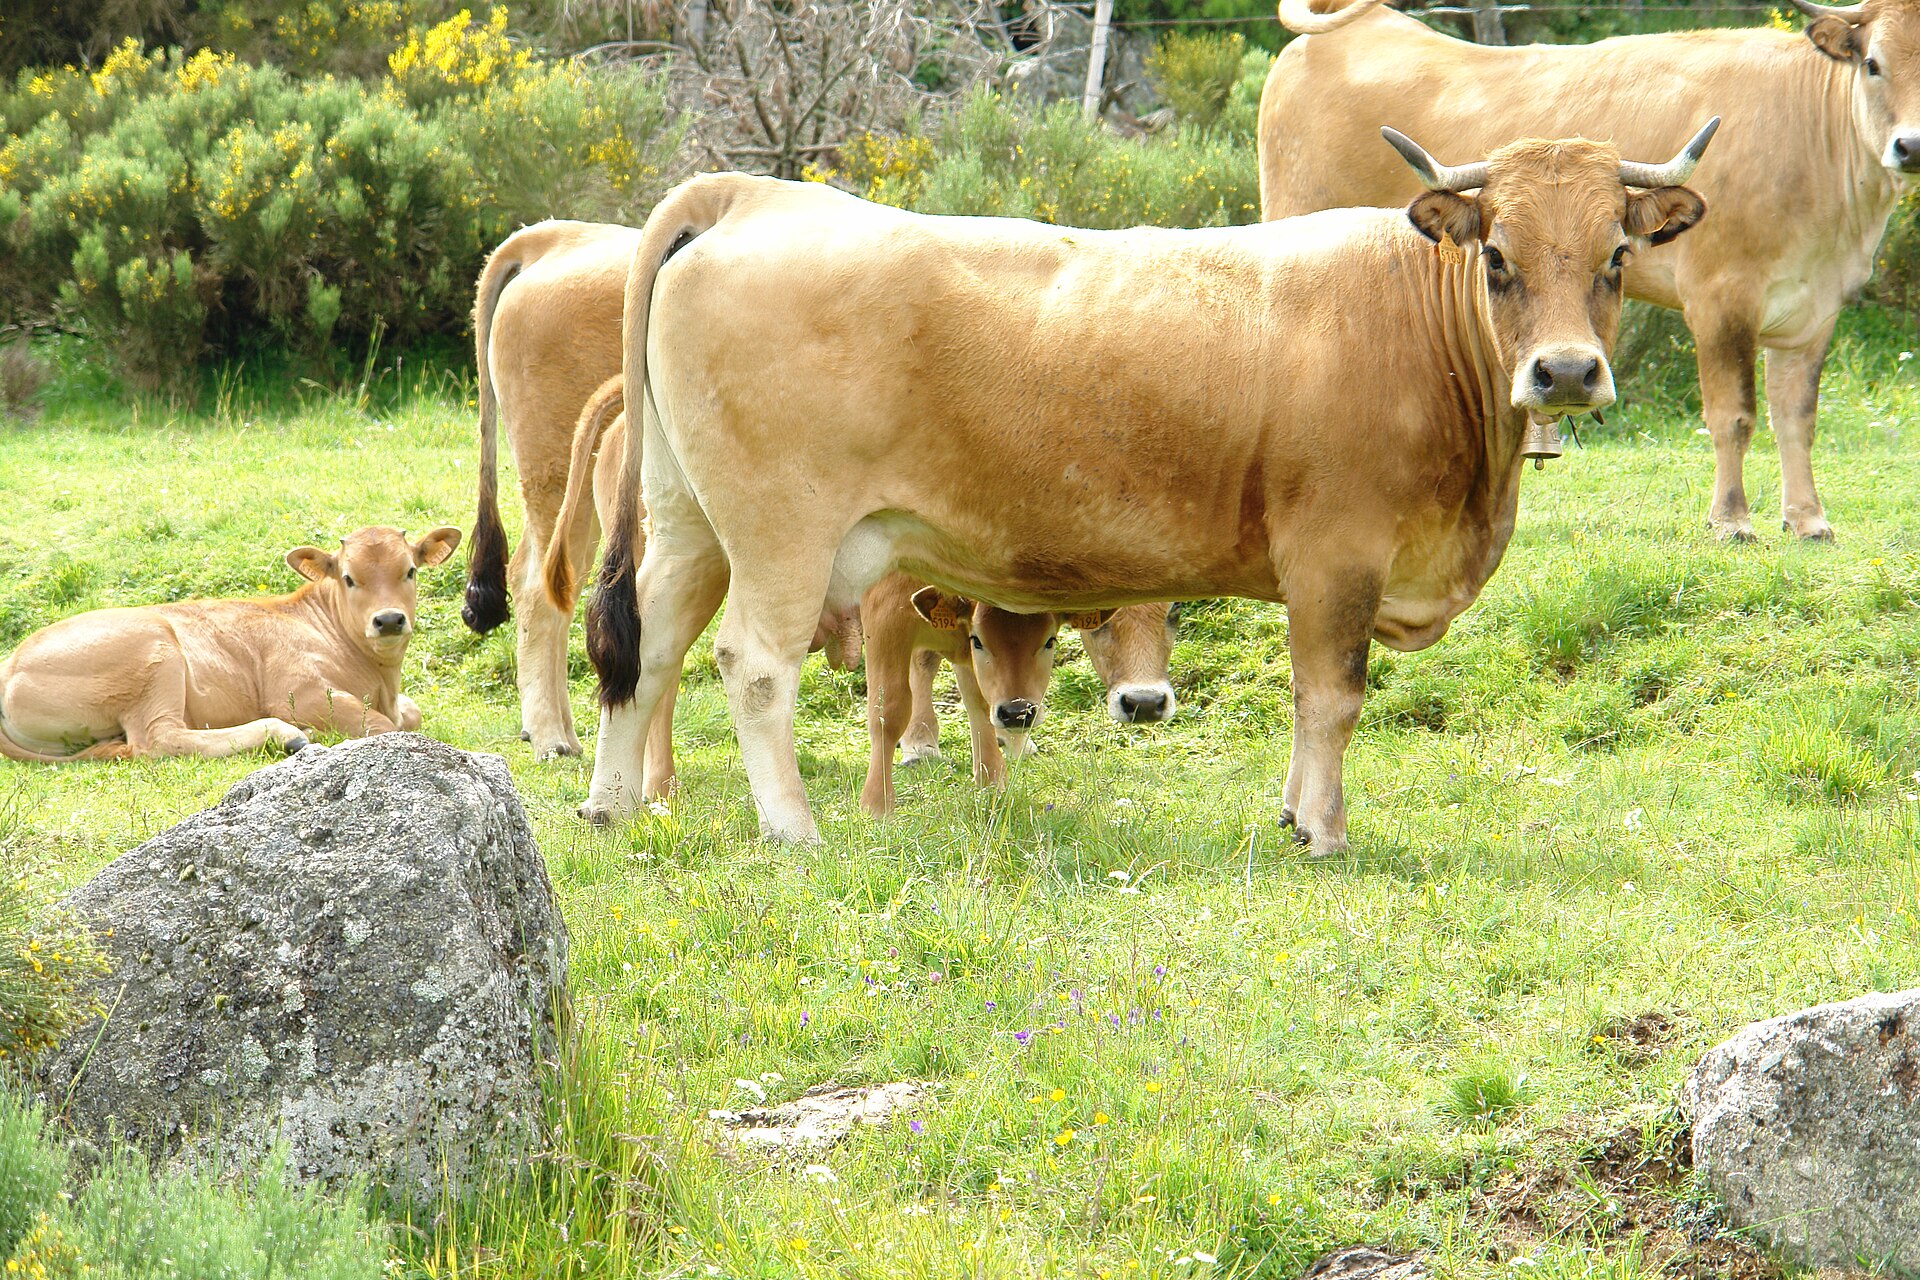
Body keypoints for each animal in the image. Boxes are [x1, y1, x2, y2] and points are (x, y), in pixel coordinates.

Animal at [0, 526, 460, 761]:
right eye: (348, 578)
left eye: (410, 570)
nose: (389, 620)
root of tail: (10, 663)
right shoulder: (301, 690)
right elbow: (386, 728)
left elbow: (411, 716)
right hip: (153, 651)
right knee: (159, 738)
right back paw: (288, 735)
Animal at [539, 380, 1180, 805]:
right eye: (1102, 625)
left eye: (1050, 642)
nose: (1144, 702)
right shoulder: (889, 620)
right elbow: (888, 709)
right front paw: (878, 803)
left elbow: (974, 702)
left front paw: (992, 780)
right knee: (660, 674)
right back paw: (659, 784)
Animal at [1259, 0, 1920, 543]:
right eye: (1873, 65)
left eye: (1618, 253)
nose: (1910, 147)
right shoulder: (1720, 299)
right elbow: (1733, 415)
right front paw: (1731, 520)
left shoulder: (1814, 312)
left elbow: (1797, 417)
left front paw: (1808, 519)